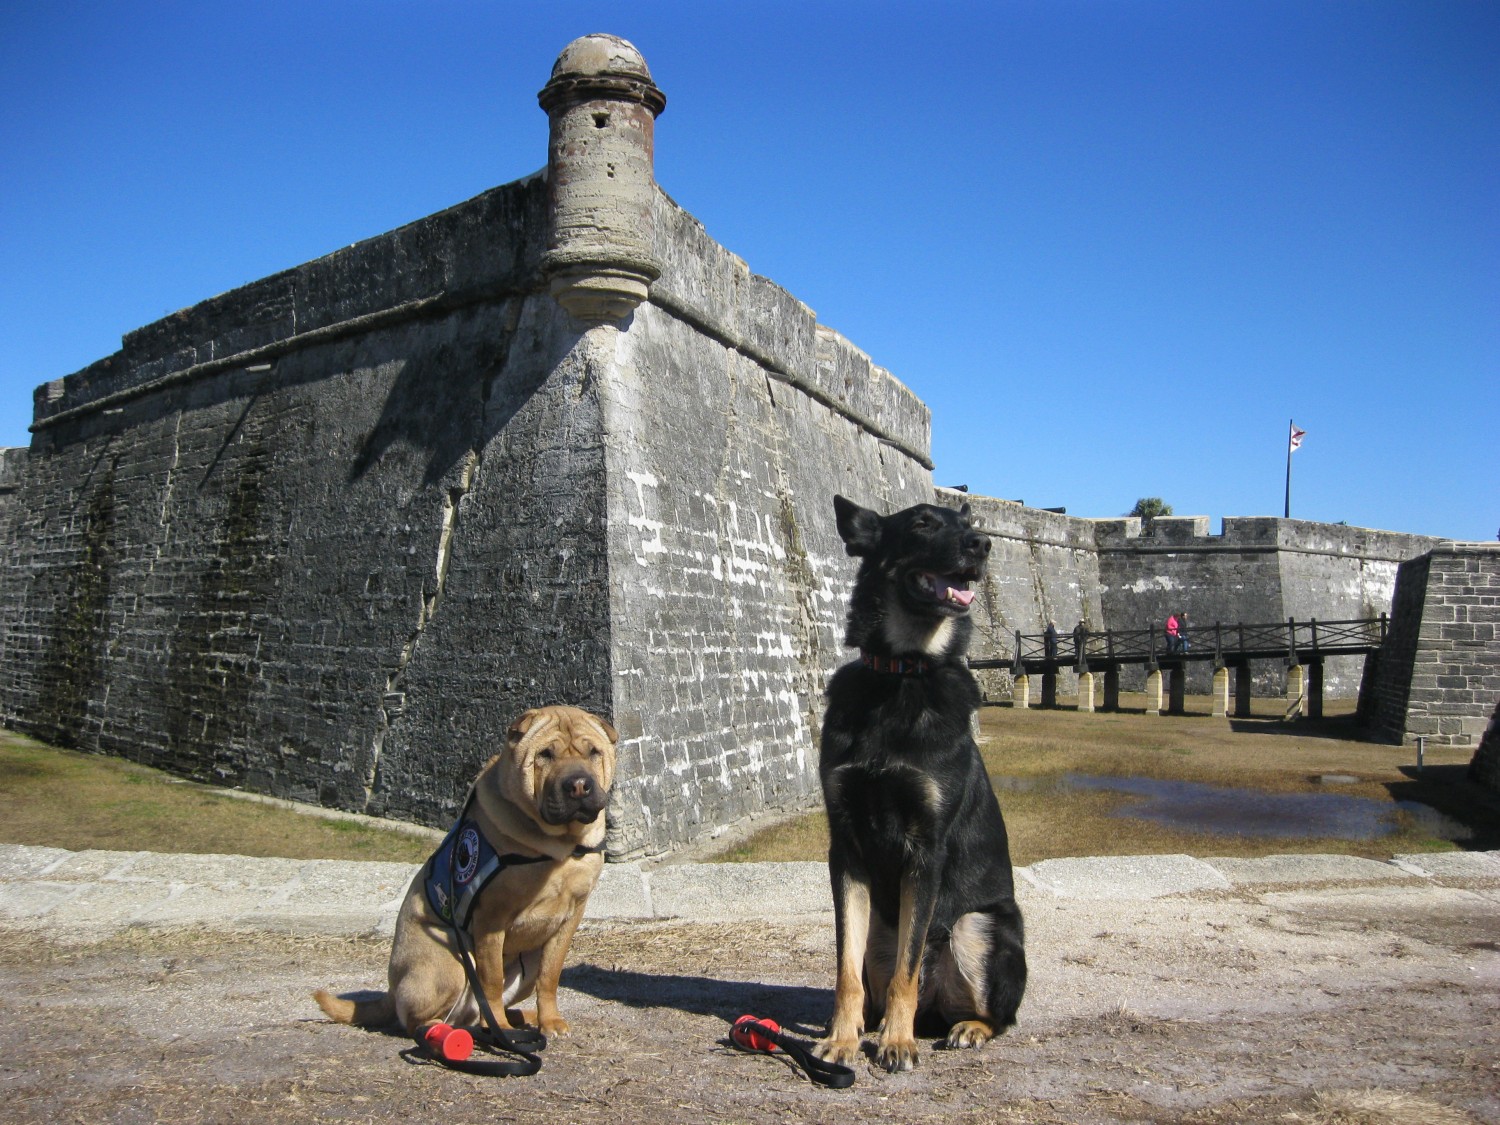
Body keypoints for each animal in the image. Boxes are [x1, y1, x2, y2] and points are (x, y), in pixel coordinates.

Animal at [313, 708, 618, 1044]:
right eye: (545, 754)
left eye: (593, 752)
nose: (578, 785)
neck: (559, 846)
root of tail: (391, 993)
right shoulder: (492, 918)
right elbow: (492, 980)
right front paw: (502, 1028)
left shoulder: (571, 915)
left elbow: (550, 975)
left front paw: (549, 1021)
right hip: (450, 962)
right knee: (417, 1019)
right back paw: (451, 1031)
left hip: (523, 968)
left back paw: (519, 1019)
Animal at [816, 495, 1026, 1074]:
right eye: (923, 523)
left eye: (970, 524)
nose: (983, 544)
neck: (901, 673)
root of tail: (938, 1010)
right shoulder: (845, 850)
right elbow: (845, 970)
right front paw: (841, 1039)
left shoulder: (926, 850)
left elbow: (906, 974)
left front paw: (897, 1043)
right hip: (882, 934)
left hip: (980, 925)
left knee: (998, 1014)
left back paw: (963, 1028)